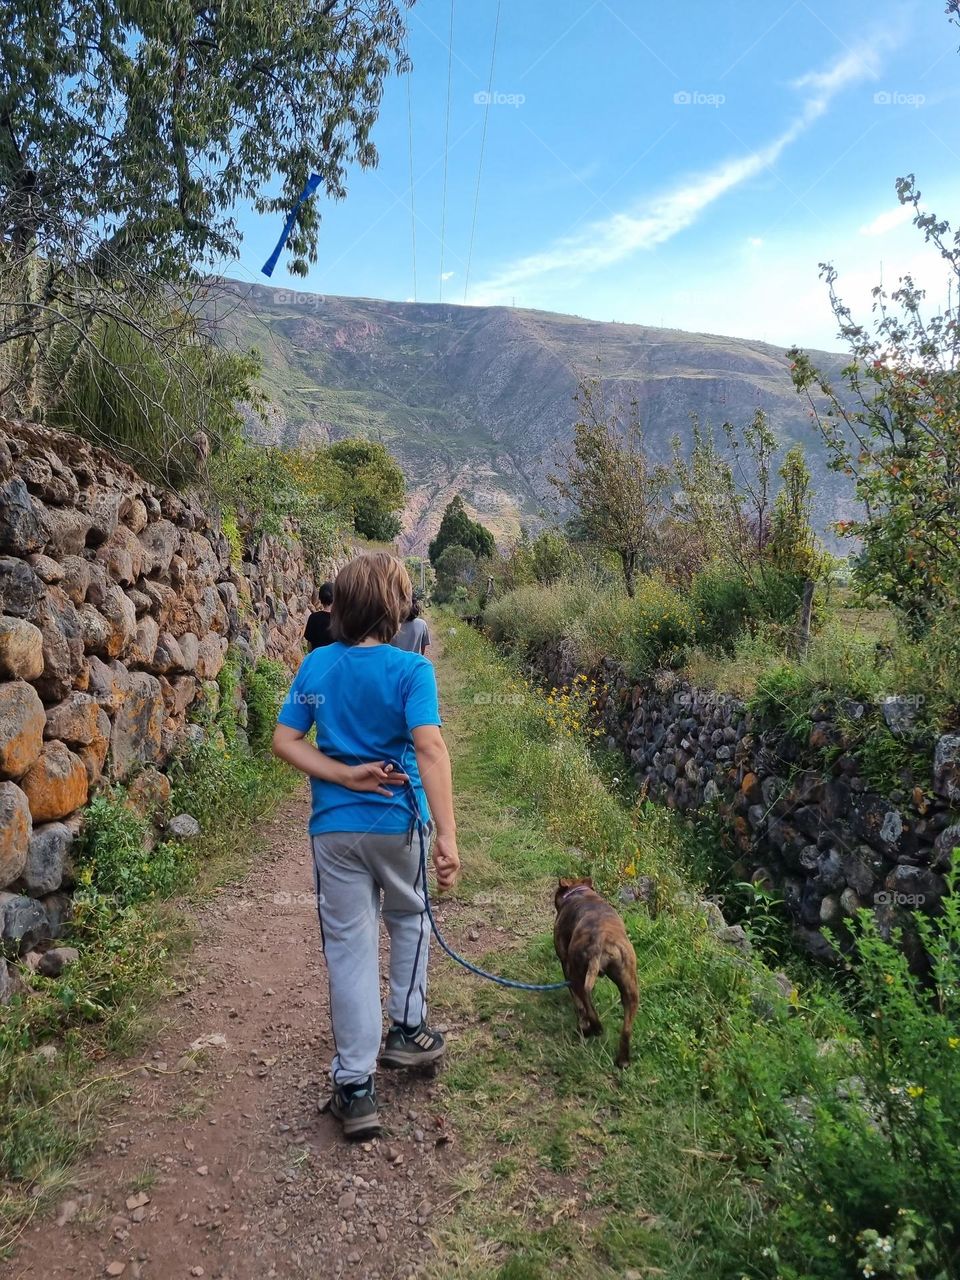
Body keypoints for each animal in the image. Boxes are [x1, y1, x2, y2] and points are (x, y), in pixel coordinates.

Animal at [555, 875, 640, 1064]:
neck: (579, 891)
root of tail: (601, 941)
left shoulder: (565, 964)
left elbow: (578, 1003)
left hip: (577, 974)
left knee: (587, 1004)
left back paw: (592, 1028)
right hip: (629, 984)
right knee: (627, 1029)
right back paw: (623, 1060)